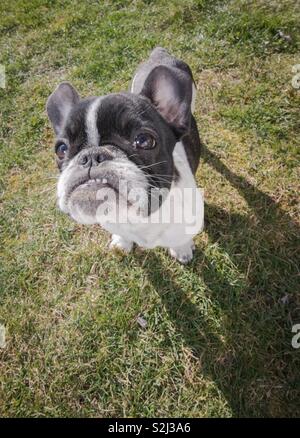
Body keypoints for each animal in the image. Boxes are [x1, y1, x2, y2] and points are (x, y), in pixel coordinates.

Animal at [46, 47, 204, 264]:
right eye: (61, 149)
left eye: (144, 140)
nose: (91, 157)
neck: (135, 218)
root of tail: (160, 53)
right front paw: (122, 242)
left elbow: (181, 237)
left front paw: (182, 249)